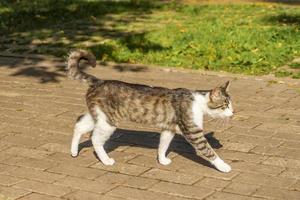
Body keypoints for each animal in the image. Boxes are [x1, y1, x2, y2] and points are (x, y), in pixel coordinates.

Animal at [68, 49, 234, 173]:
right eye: (225, 105)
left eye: (231, 105)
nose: (232, 114)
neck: (198, 102)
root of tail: (99, 81)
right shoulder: (193, 132)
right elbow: (209, 151)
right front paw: (224, 166)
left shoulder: (168, 129)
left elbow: (163, 145)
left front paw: (162, 160)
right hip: (108, 122)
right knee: (95, 139)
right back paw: (106, 160)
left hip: (98, 116)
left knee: (79, 124)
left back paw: (74, 152)